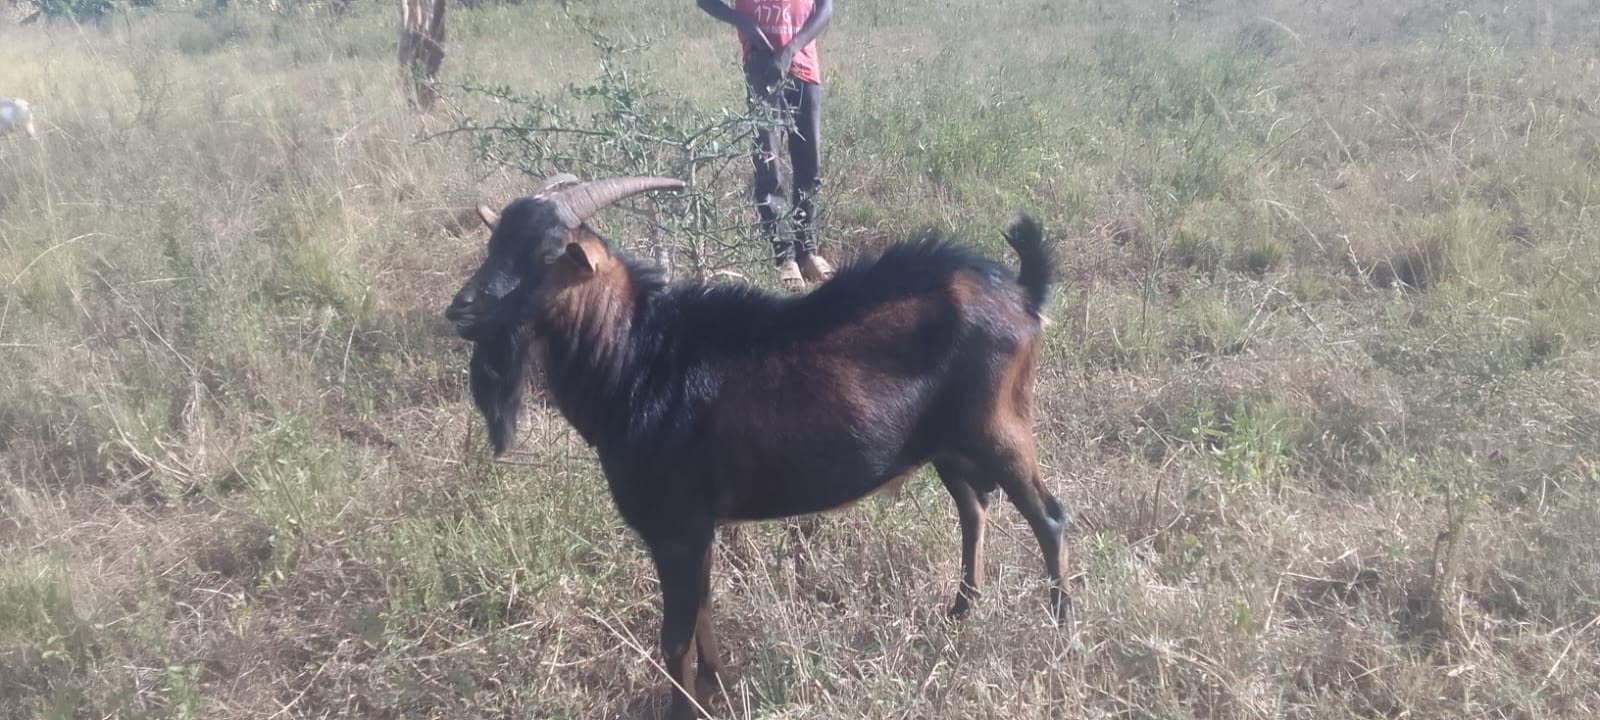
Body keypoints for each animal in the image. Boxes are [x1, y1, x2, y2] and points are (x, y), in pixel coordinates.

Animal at [445, 175, 1071, 720]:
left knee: (1048, 516)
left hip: (999, 428)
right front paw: (715, 683)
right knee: (974, 510)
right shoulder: (695, 529)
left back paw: (1061, 633)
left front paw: (685, 709)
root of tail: (1023, 292)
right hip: (948, 445)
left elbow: (674, 637)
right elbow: (701, 608)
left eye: (547, 255)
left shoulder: (676, 527)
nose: (461, 310)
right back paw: (961, 611)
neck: (640, 358)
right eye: (495, 242)